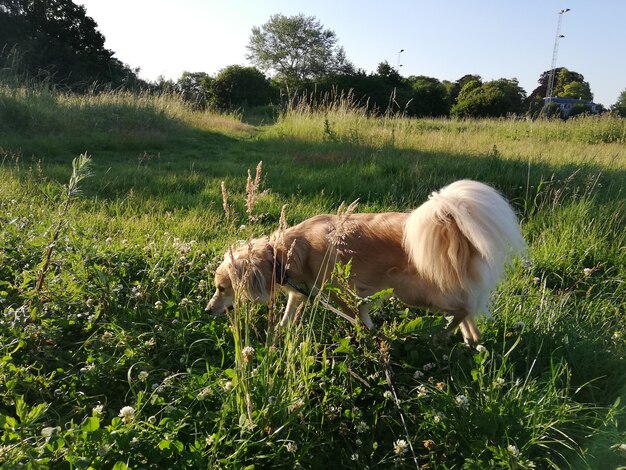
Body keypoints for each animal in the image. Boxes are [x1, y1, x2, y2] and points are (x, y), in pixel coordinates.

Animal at [207, 179, 524, 342]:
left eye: (222, 288)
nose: (208, 310)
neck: (281, 254)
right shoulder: (300, 293)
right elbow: (288, 314)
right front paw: (277, 335)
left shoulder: (346, 293)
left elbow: (360, 318)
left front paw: (370, 339)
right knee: (469, 313)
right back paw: (471, 342)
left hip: (412, 292)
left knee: (464, 309)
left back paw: (441, 337)